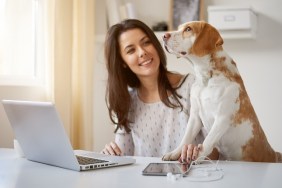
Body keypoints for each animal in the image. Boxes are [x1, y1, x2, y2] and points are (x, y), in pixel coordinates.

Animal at [162, 20, 280, 162]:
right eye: (179, 28)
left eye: (188, 29)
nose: (163, 35)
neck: (206, 79)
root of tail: (274, 154)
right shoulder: (195, 116)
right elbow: (186, 138)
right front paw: (174, 153)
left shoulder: (222, 118)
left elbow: (207, 142)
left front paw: (198, 157)